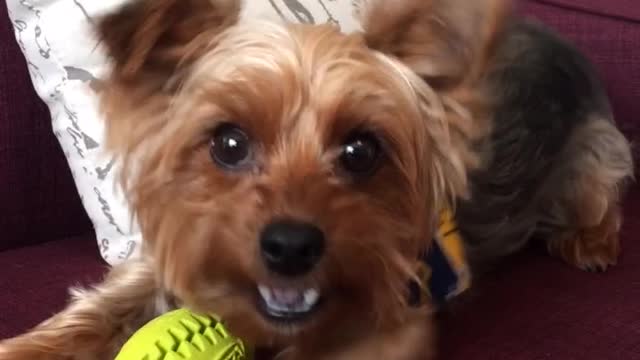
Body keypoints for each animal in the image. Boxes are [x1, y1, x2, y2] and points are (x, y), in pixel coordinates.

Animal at [0, 0, 632, 360]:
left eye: (360, 151)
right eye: (229, 144)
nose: (290, 246)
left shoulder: (394, 319)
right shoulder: (178, 246)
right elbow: (108, 303)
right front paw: (28, 347)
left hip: (591, 148)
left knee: (603, 191)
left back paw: (592, 242)